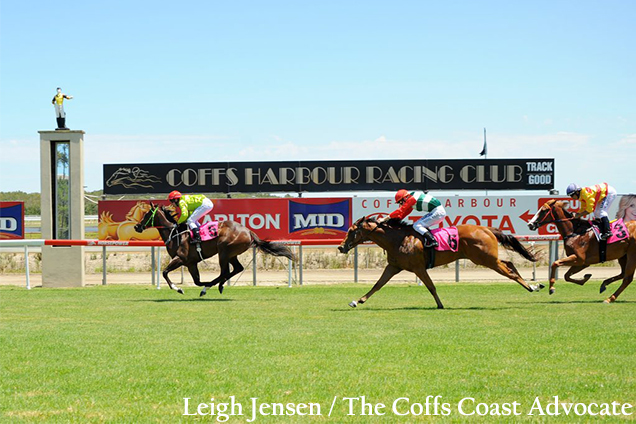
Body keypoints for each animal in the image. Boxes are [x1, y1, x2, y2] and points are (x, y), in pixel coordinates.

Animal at [134, 203, 296, 296]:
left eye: (147, 214)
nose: (137, 226)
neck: (175, 234)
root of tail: (248, 231)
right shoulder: (191, 263)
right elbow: (197, 280)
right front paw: (201, 285)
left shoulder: (180, 259)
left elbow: (165, 272)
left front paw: (179, 289)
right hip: (232, 254)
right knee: (236, 268)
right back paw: (218, 285)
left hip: (224, 251)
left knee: (225, 271)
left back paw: (212, 287)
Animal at [338, 217, 540, 310]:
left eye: (351, 231)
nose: (341, 247)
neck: (398, 239)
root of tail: (486, 228)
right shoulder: (394, 266)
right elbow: (378, 284)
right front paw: (357, 301)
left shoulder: (418, 268)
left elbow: (431, 286)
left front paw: (440, 305)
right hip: (488, 258)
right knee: (509, 263)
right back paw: (534, 285)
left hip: (485, 259)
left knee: (509, 271)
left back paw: (532, 287)